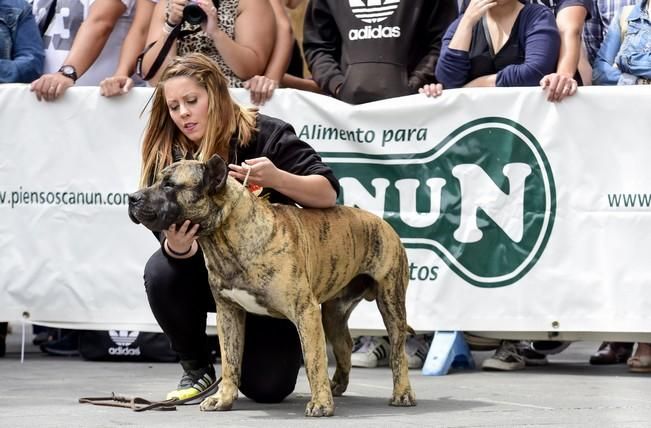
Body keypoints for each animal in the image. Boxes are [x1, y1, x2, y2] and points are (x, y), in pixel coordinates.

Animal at [129, 155, 418, 416]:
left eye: (169, 185)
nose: (132, 198)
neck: (224, 236)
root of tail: (380, 221)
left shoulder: (305, 312)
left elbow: (314, 360)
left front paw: (320, 404)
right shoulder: (228, 312)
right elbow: (230, 360)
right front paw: (223, 399)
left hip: (391, 302)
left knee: (397, 351)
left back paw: (402, 394)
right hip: (333, 313)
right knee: (344, 344)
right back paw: (337, 384)